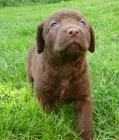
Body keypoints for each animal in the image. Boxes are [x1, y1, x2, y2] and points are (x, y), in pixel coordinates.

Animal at [26, 9, 95, 140]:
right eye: (54, 25)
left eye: (82, 23)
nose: (74, 31)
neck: (65, 66)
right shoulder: (43, 95)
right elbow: (50, 113)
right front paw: (54, 126)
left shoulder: (84, 97)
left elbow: (85, 121)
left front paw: (86, 136)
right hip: (29, 73)